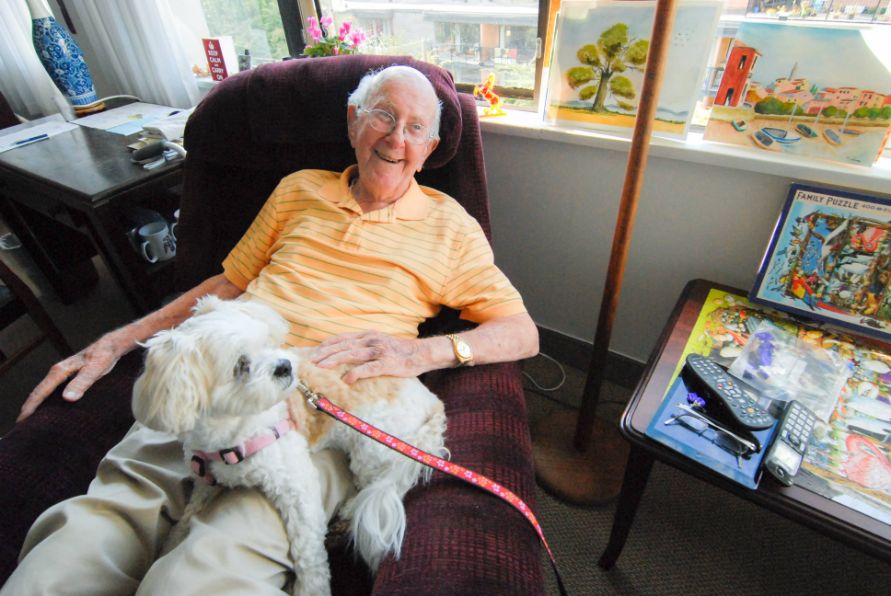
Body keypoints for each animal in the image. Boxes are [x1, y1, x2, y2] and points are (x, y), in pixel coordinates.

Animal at [131, 296, 446, 592]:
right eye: (241, 365)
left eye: (267, 343)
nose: (284, 366)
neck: (232, 433)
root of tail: (432, 401)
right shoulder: (204, 479)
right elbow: (188, 514)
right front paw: (172, 541)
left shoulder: (296, 486)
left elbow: (309, 553)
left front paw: (310, 588)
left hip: (371, 448)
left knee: (378, 482)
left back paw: (348, 512)